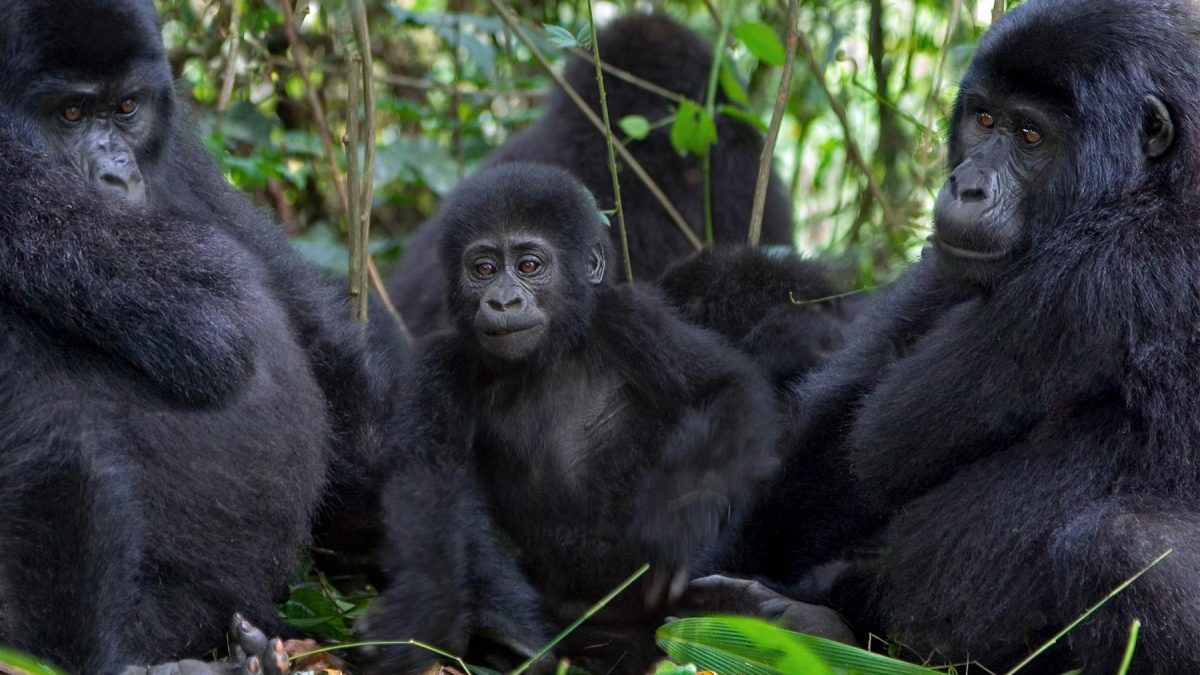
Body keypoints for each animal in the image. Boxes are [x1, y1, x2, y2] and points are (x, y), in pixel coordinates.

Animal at [364, 164, 777, 672]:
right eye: (483, 269)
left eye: (528, 266)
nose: (502, 301)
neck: (548, 357)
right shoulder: (437, 365)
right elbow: (429, 484)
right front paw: (420, 614)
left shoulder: (632, 317)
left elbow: (724, 388)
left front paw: (680, 517)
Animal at [734, 1, 1200, 667]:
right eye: (984, 119)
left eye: (1030, 136)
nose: (966, 185)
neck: (1159, 180)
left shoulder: (1108, 270)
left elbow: (881, 439)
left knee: (1121, 546)